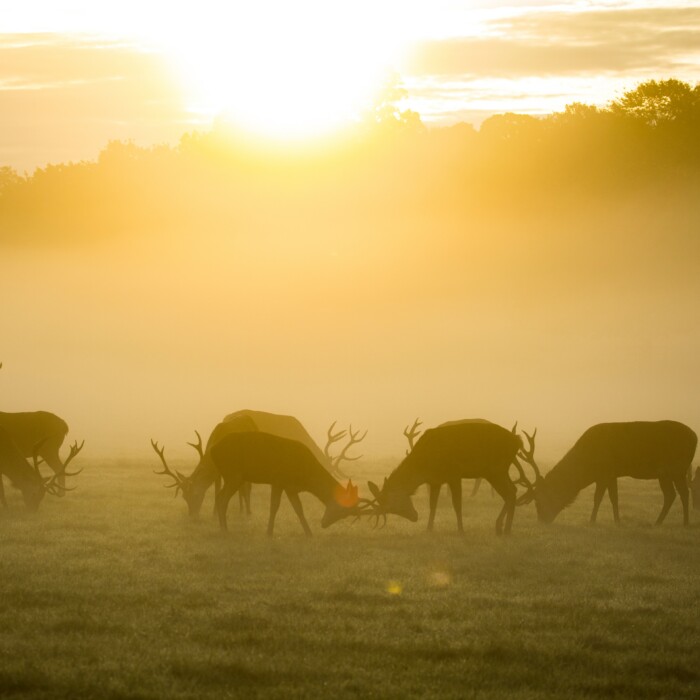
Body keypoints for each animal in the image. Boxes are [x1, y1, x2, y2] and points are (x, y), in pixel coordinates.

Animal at [208, 432, 366, 536]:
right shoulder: (278, 479)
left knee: (219, 496)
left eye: (345, 515)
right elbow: (274, 506)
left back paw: (221, 527)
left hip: (231, 476)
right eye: (341, 509)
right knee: (223, 499)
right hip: (234, 474)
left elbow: (298, 508)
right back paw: (225, 530)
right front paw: (269, 533)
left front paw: (309, 533)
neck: (305, 475)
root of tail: (212, 450)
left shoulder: (291, 487)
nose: (323, 524)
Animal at [372, 422, 524, 536]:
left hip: (496, 469)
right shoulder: (435, 480)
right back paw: (504, 528)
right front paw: (429, 529)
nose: (414, 517)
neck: (423, 466)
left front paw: (461, 530)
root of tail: (518, 441)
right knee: (513, 490)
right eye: (391, 510)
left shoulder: (454, 474)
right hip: (498, 471)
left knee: (510, 492)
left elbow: (457, 504)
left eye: (394, 502)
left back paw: (502, 528)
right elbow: (433, 505)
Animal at [516, 422, 696, 524]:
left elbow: (599, 498)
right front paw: (617, 521)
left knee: (683, 492)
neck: (587, 467)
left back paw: (685, 523)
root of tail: (695, 437)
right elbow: (613, 498)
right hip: (665, 473)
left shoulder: (605, 472)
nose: (542, 521)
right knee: (671, 494)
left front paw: (592, 521)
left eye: (539, 501)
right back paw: (658, 522)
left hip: (678, 468)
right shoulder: (609, 474)